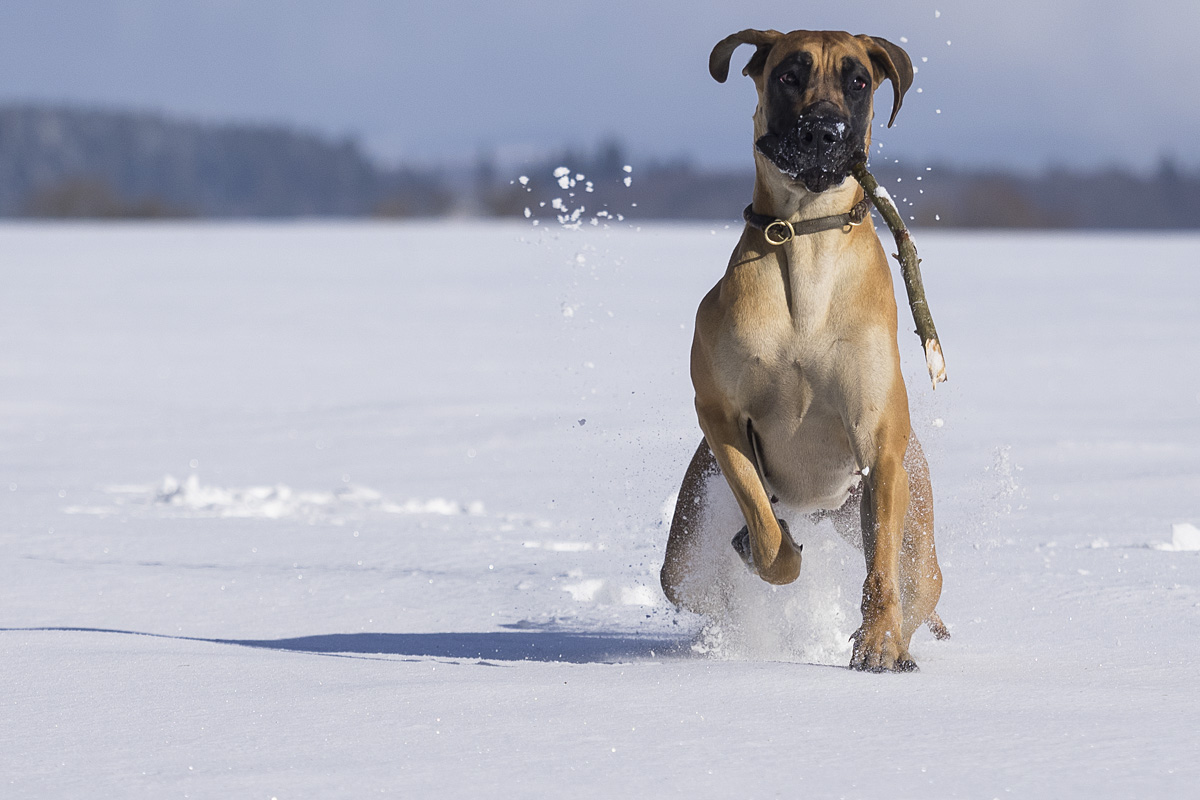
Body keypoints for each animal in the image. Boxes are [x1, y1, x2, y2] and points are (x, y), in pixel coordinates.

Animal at [662, 29, 940, 671]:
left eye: (858, 80)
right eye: (790, 75)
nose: (822, 131)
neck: (805, 240)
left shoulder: (878, 442)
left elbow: (882, 568)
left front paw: (878, 641)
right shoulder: (720, 416)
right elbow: (761, 523)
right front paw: (772, 553)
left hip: (911, 526)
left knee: (916, 581)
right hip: (685, 554)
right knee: (692, 579)